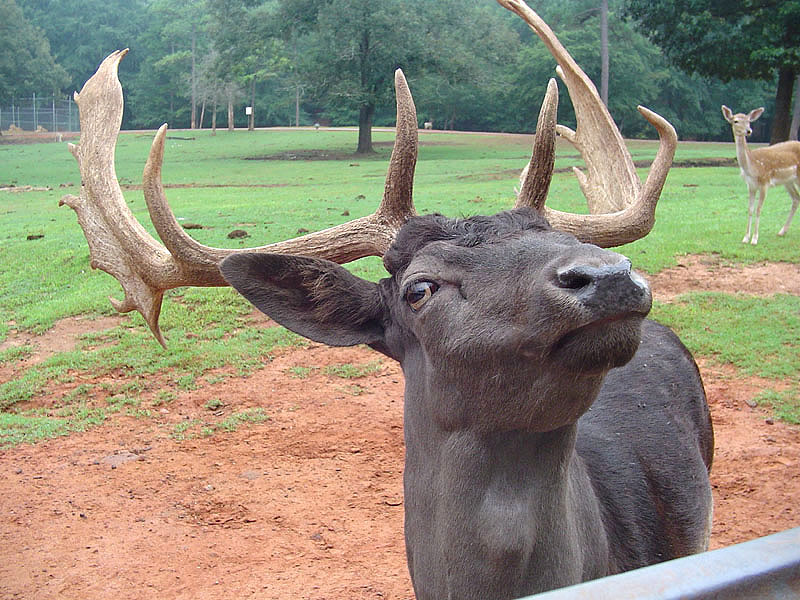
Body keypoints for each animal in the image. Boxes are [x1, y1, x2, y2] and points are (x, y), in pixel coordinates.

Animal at [720, 105, 800, 244]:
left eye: (748, 121)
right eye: (736, 121)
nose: (748, 131)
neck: (752, 167)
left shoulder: (765, 182)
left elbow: (758, 209)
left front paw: (755, 239)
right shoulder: (750, 186)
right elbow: (750, 209)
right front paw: (746, 238)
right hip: (788, 181)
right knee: (796, 198)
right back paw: (782, 231)